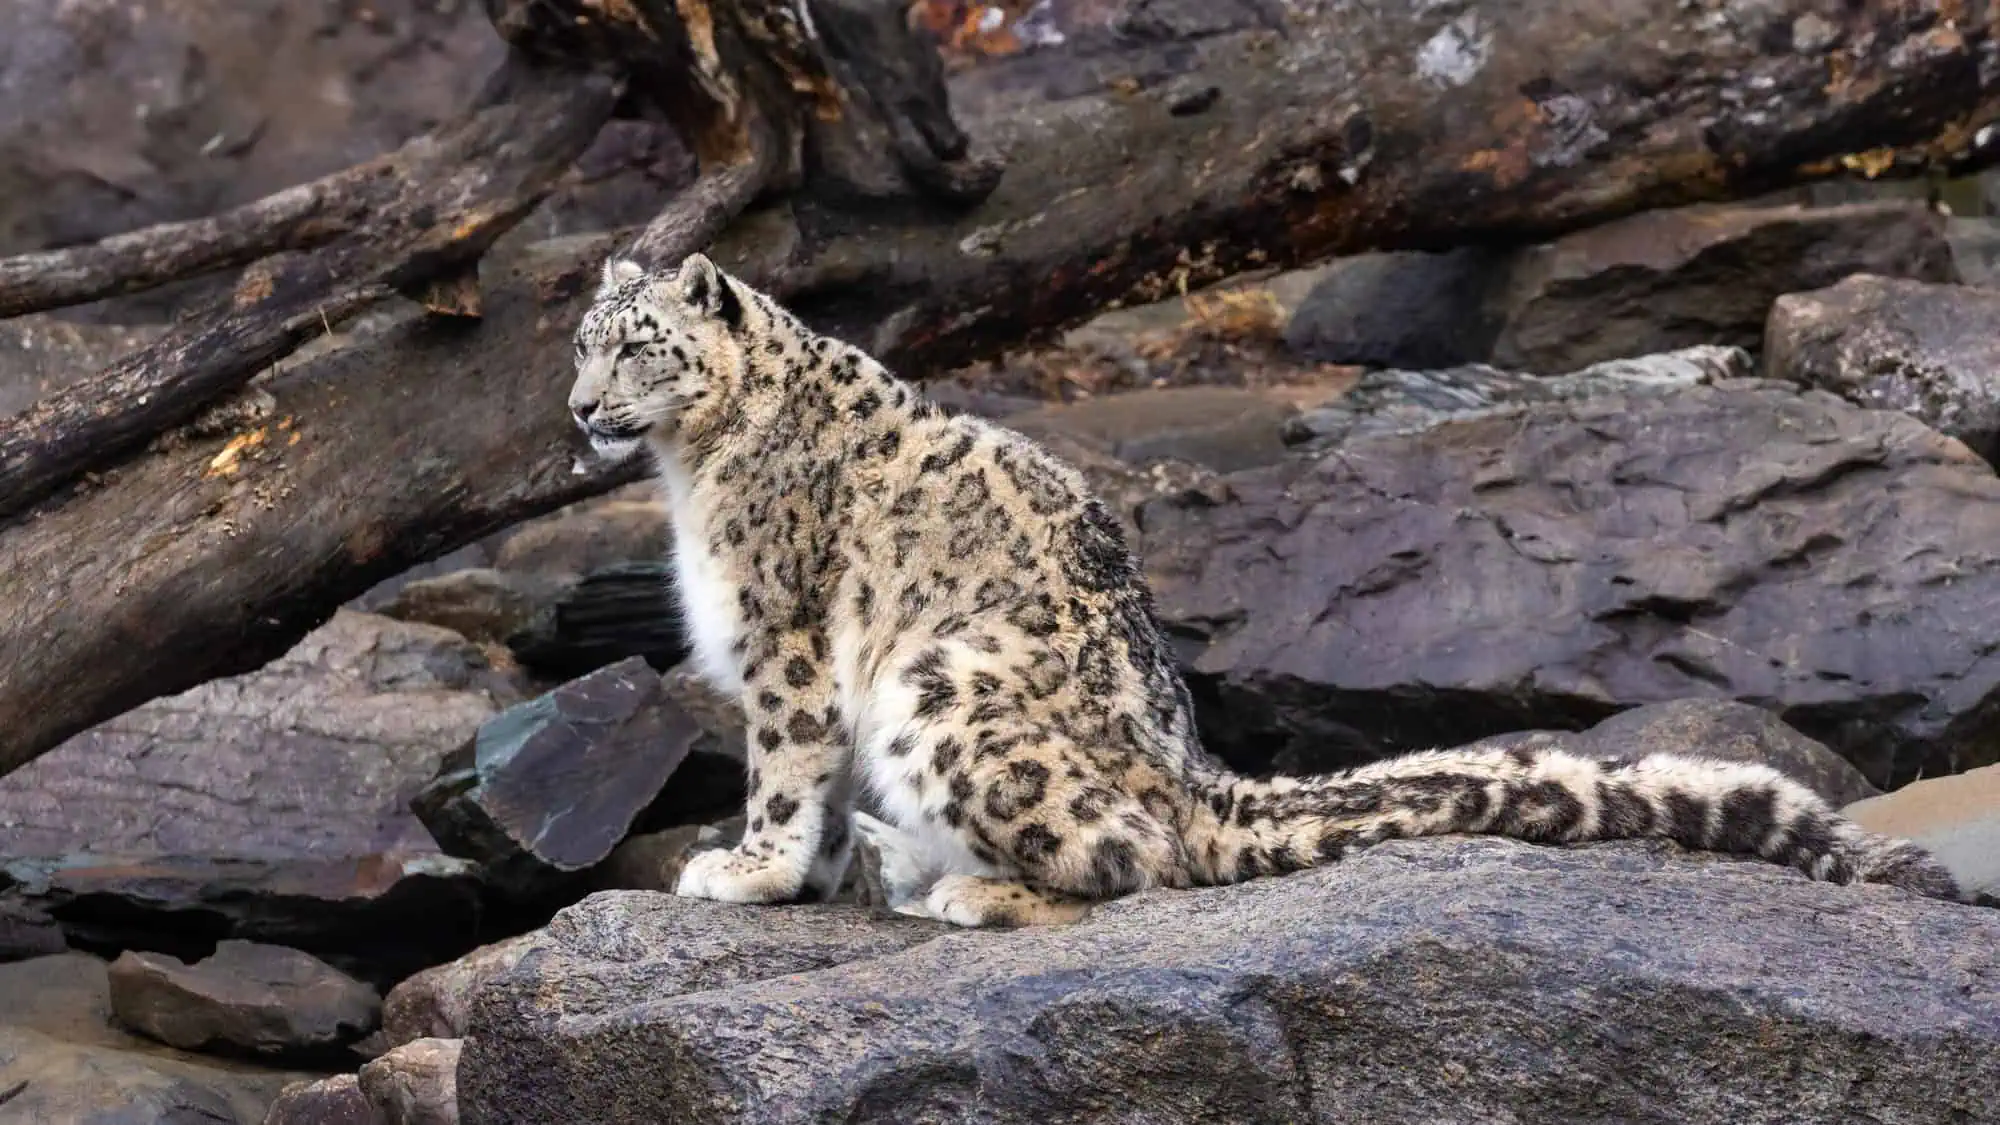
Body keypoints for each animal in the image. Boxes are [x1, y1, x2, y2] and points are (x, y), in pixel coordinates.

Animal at [565, 251, 1966, 928]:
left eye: (639, 348)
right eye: (580, 343)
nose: (578, 409)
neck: (690, 471)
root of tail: (1194, 774)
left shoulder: (785, 636)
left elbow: (784, 761)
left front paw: (747, 870)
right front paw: (779, 872)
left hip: (937, 683)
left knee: (1137, 858)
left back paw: (966, 888)